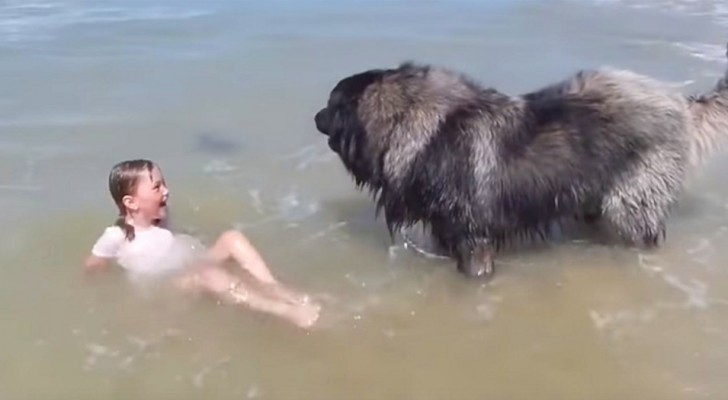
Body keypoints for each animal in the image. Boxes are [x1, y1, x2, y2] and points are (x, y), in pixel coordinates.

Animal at [316, 45, 728, 280]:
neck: (416, 121)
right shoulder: (448, 229)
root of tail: (679, 104)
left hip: (631, 203)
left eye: (331, 104)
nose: (315, 117)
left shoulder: (473, 237)